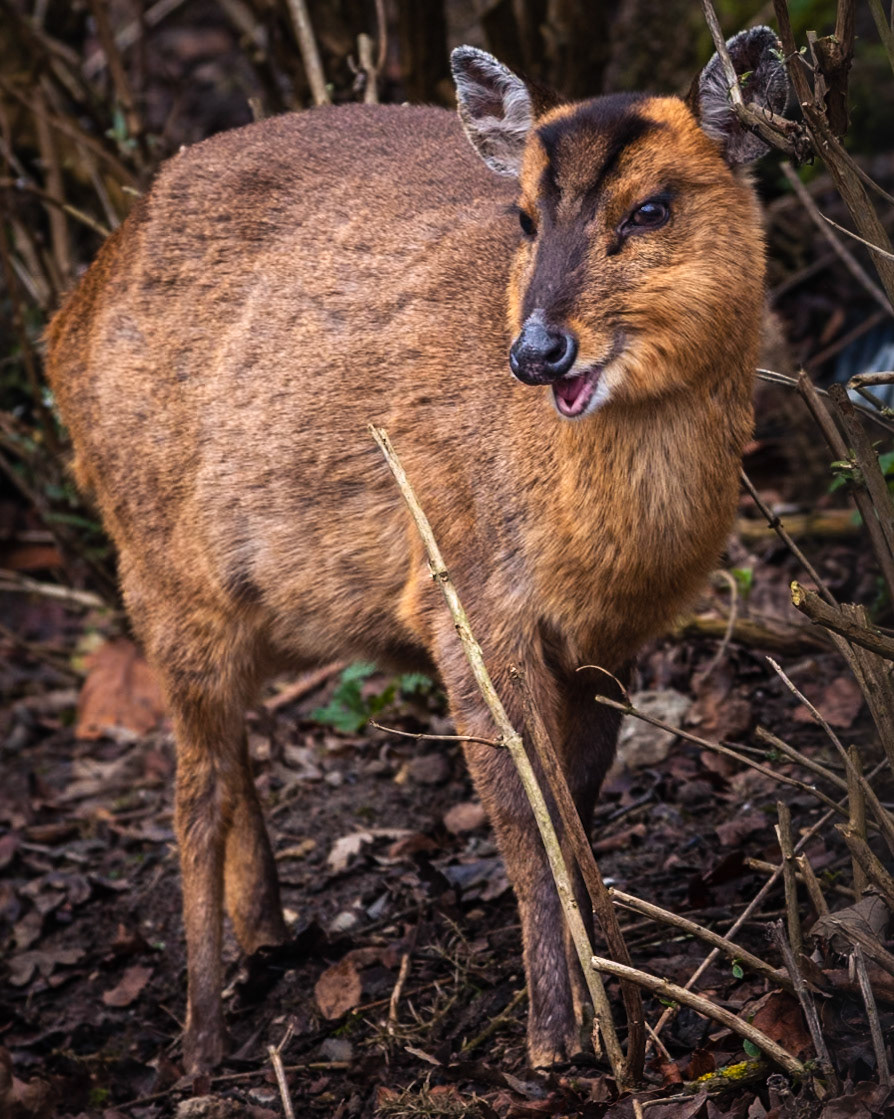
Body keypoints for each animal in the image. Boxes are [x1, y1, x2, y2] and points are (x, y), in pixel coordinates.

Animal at [46, 28, 789, 1073]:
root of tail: (61, 322)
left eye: (652, 208)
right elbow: (520, 809)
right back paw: (201, 1039)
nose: (538, 352)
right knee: (194, 788)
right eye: (524, 216)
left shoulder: (611, 640)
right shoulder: (462, 596)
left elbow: (578, 795)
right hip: (158, 568)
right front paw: (556, 1035)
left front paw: (614, 989)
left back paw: (271, 934)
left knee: (234, 754)